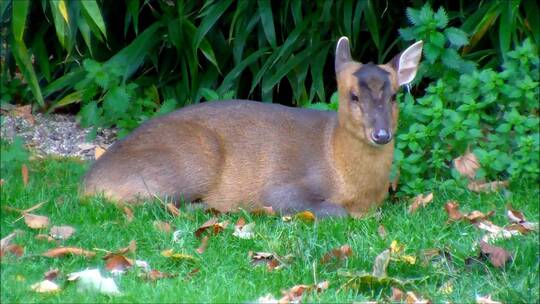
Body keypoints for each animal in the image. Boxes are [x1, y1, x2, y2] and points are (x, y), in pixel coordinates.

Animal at [84, 36, 422, 217]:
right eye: (353, 96)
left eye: (394, 95)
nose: (381, 134)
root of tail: (88, 183)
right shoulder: (281, 189)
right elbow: (334, 211)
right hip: (191, 162)